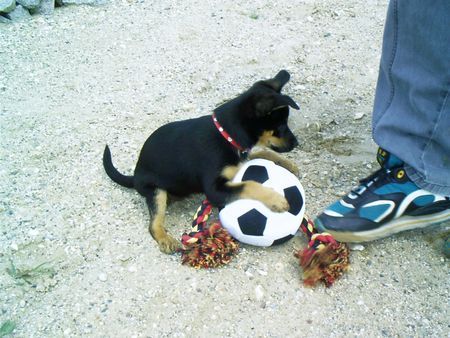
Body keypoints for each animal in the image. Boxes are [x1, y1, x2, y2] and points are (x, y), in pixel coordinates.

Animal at [103, 69, 300, 254]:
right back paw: (165, 239)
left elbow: (263, 153)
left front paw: (287, 164)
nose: (296, 143)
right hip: (156, 191)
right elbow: (249, 184)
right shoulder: (214, 190)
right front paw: (276, 199)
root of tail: (135, 175)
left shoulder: (240, 158)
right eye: (281, 126)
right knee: (154, 223)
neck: (226, 134)